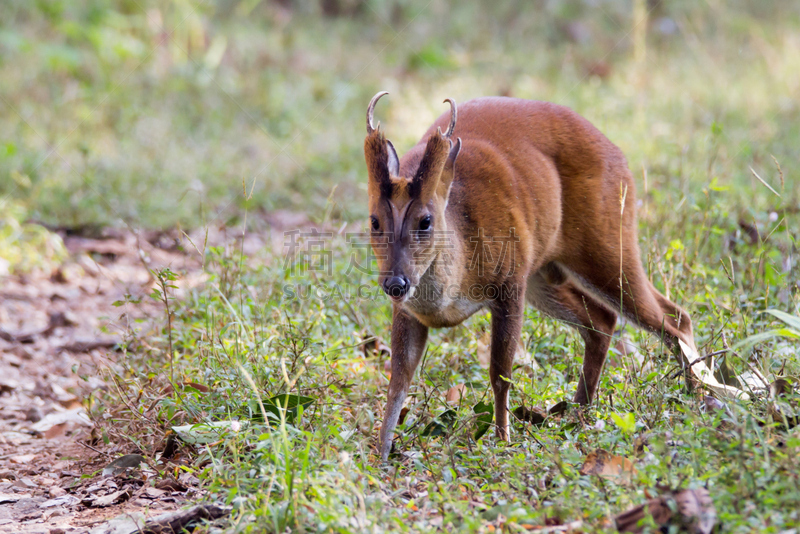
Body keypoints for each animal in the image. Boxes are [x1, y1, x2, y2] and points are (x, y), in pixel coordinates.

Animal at [366, 94, 696, 462]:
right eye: (374, 221)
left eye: (425, 221)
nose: (395, 283)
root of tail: (620, 156)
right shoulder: (408, 310)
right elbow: (398, 378)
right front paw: (381, 454)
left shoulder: (510, 280)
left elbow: (501, 372)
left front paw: (502, 441)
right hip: (543, 272)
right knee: (603, 320)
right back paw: (578, 413)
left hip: (606, 239)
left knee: (673, 318)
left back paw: (700, 398)